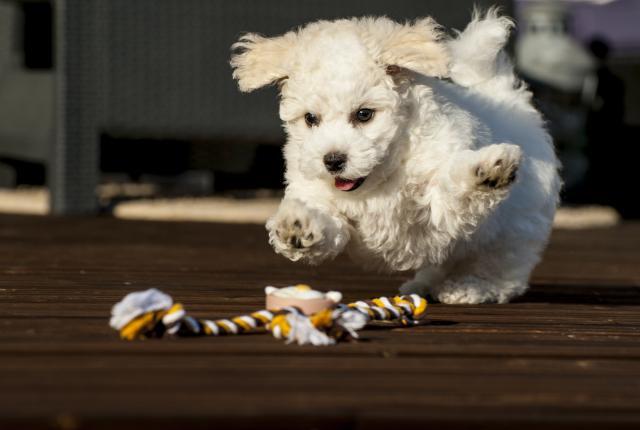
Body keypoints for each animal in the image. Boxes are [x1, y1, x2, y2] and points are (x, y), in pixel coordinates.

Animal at [230, 10, 560, 306]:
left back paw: (470, 287)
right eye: (311, 119)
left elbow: (453, 189)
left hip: (514, 230)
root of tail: (505, 98)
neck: (383, 172)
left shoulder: (440, 206)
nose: (333, 160)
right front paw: (297, 227)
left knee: (499, 268)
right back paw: (425, 283)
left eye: (364, 114)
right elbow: (327, 222)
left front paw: (487, 171)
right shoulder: (318, 193)